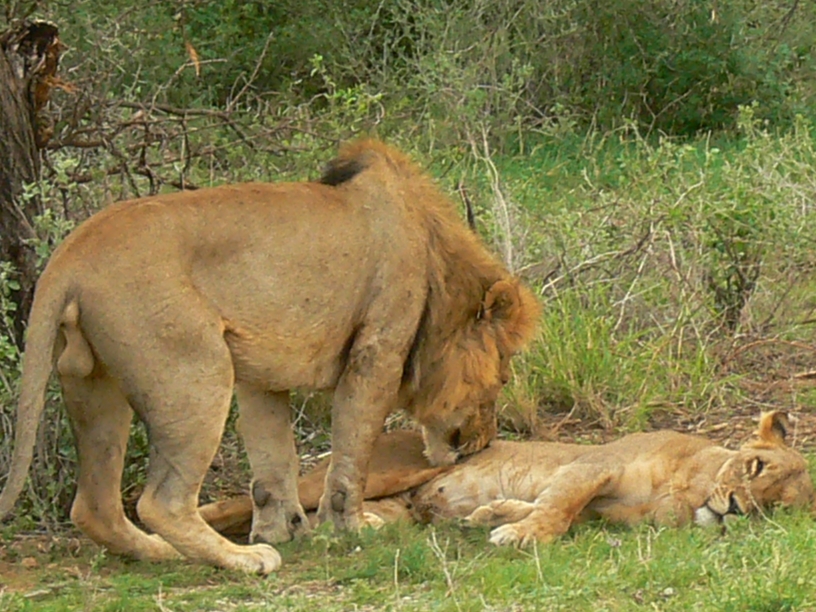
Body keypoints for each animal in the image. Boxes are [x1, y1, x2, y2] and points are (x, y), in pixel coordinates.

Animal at [0, 139, 540, 574]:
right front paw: (351, 526)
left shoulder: (261, 374)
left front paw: (282, 529)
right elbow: (351, 453)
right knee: (160, 501)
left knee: (95, 506)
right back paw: (242, 559)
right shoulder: (378, 348)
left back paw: (163, 553)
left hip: (95, 386)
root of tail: (70, 254)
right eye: (502, 379)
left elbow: (273, 457)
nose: (486, 443)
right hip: (196, 370)